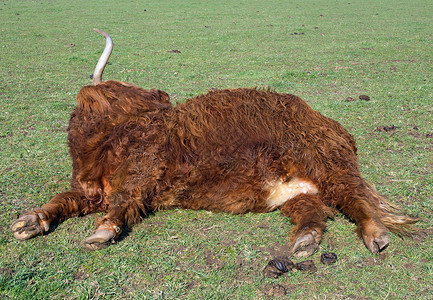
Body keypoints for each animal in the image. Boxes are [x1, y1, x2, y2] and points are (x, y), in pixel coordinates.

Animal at [11, 29, 416, 256]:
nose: (162, 96)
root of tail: (331, 123)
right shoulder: (90, 192)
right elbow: (62, 199)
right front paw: (29, 221)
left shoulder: (142, 175)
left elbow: (123, 201)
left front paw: (101, 232)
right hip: (298, 191)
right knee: (314, 212)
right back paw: (305, 243)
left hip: (326, 164)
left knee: (355, 199)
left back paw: (375, 236)